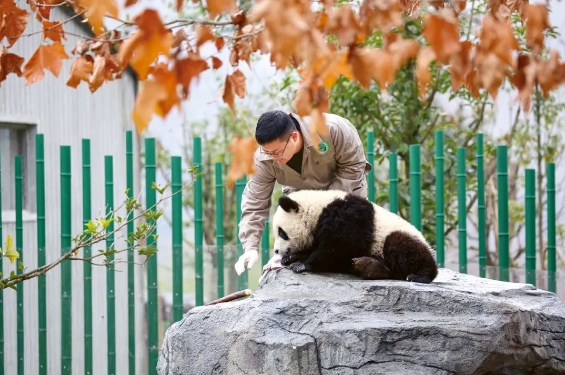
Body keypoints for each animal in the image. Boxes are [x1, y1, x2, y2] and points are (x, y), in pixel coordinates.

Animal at [270, 191, 438, 284]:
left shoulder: (348, 216)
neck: (317, 210)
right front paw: (291, 258)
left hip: (396, 236)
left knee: (402, 247)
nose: (277, 251)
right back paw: (369, 266)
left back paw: (419, 276)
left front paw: (303, 264)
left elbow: (341, 245)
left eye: (282, 232)